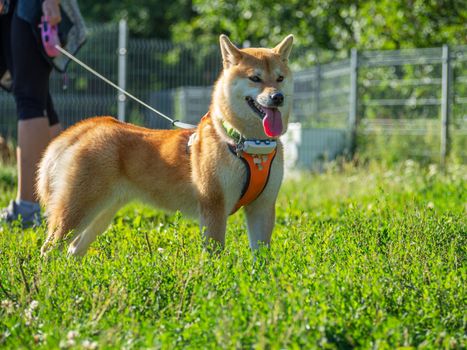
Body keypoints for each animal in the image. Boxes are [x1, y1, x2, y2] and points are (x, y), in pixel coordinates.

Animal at [38, 34, 294, 256]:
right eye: (255, 78)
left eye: (280, 78)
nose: (278, 97)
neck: (249, 144)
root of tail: (88, 126)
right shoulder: (214, 208)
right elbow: (215, 255)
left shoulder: (262, 207)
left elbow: (261, 257)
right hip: (78, 210)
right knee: (49, 249)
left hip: (103, 214)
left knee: (73, 250)